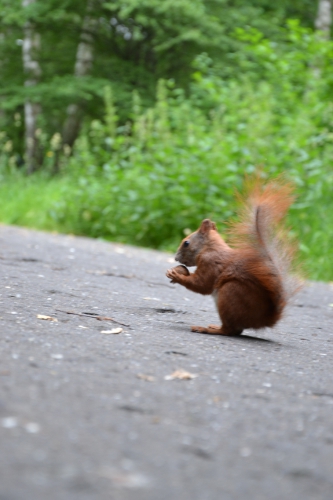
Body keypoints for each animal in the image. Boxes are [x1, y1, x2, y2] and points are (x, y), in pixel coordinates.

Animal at [165, 176, 300, 336]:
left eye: (186, 243)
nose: (175, 258)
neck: (209, 249)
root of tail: (264, 320)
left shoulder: (210, 262)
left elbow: (202, 284)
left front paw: (176, 276)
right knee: (237, 330)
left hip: (230, 293)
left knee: (231, 330)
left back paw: (208, 329)